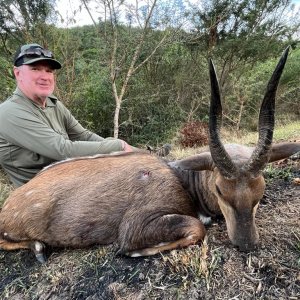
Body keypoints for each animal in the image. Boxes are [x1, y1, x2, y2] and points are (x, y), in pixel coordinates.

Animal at [1, 47, 298, 262]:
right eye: (219, 189)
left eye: (260, 190)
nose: (247, 243)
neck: (182, 179)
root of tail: (11, 202)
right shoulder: (137, 226)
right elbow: (196, 228)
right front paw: (132, 251)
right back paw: (39, 248)